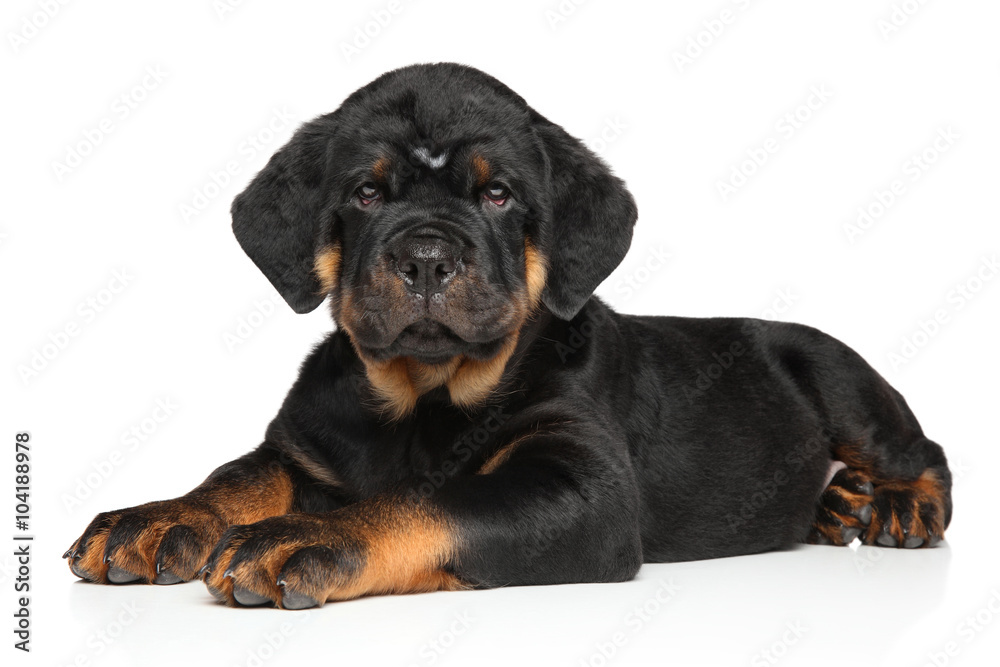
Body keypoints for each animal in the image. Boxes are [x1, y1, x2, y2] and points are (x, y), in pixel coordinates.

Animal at [64, 64, 952, 612]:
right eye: (365, 192)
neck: (424, 399)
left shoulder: (584, 487)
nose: (426, 256)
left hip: (840, 377)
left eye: (497, 196)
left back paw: (894, 505)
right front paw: (158, 517)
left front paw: (308, 535)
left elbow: (431, 499)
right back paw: (837, 503)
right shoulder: (301, 447)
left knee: (924, 452)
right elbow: (237, 476)